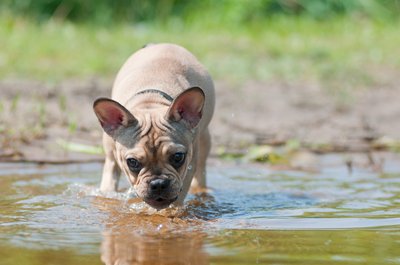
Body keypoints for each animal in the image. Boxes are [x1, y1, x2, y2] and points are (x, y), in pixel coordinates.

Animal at [92, 42, 214, 208]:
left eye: (178, 157)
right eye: (132, 162)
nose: (158, 183)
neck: (150, 103)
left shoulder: (188, 167)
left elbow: (177, 198)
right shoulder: (111, 159)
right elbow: (109, 184)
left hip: (204, 140)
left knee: (201, 171)